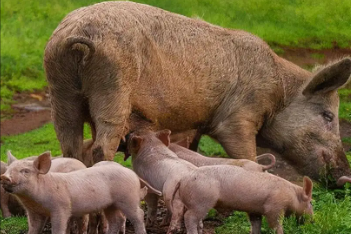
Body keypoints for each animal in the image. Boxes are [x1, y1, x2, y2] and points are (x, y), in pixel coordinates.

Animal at [44, 0, 351, 183]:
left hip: (60, 89)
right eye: (327, 116)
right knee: (100, 146)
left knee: (70, 145)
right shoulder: (239, 115)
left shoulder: (196, 124)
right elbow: (245, 151)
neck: (278, 92)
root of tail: (75, 37)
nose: (345, 176)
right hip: (113, 85)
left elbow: (191, 148)